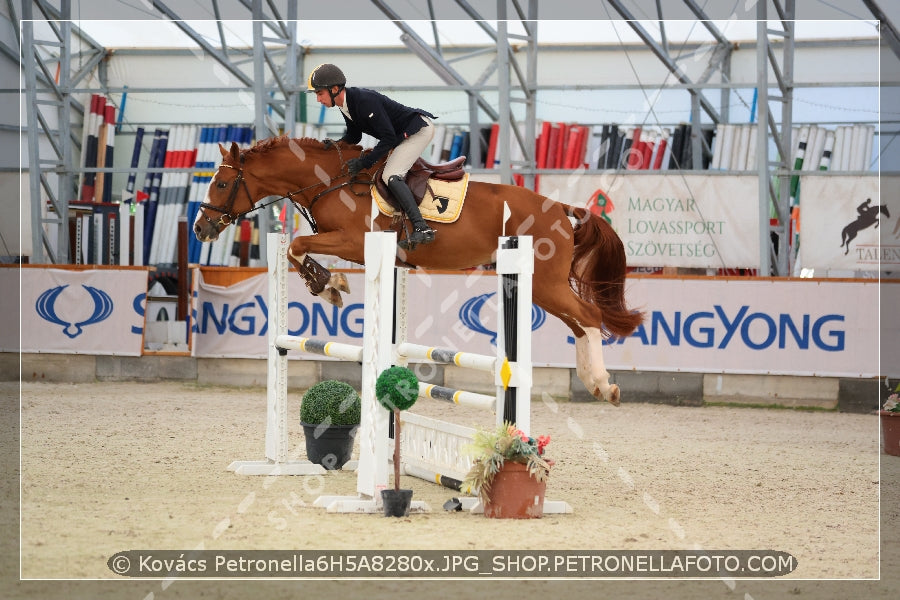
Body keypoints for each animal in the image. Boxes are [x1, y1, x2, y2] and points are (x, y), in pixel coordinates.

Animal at [193, 137, 644, 404]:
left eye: (220, 184)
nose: (200, 228)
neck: (330, 181)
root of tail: (561, 207)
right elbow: (297, 249)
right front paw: (329, 283)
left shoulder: (354, 242)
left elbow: (298, 246)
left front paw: (326, 284)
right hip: (539, 286)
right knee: (579, 324)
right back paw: (594, 381)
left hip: (546, 282)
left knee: (589, 316)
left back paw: (604, 384)